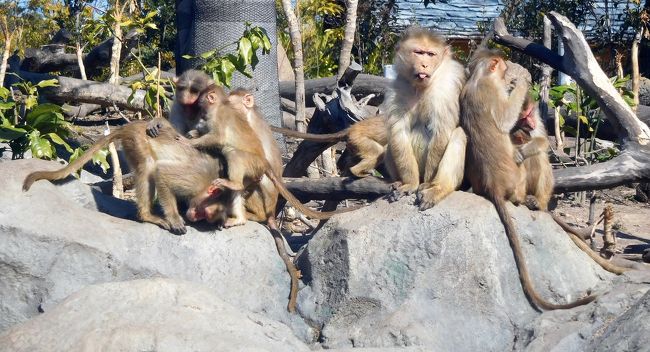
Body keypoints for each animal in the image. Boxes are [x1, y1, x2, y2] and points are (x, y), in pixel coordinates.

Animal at [22, 119, 230, 235]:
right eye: (204, 213)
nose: (194, 217)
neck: (206, 185)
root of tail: (133, 125)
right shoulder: (193, 181)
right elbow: (161, 173)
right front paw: (175, 218)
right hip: (137, 140)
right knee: (148, 166)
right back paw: (146, 215)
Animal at [380, 27, 466, 210]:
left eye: (431, 54)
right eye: (419, 52)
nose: (424, 65)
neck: (421, 87)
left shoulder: (445, 87)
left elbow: (441, 132)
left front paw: (429, 184)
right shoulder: (399, 88)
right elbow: (399, 132)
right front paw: (410, 184)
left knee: (458, 134)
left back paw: (439, 187)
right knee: (391, 143)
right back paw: (400, 182)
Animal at [458, 48, 596, 310]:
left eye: (531, 115)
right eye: (523, 117)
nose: (529, 123)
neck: (478, 79)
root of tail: (493, 185)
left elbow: (540, 141)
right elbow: (505, 120)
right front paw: (522, 80)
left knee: (538, 157)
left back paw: (537, 201)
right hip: (517, 183)